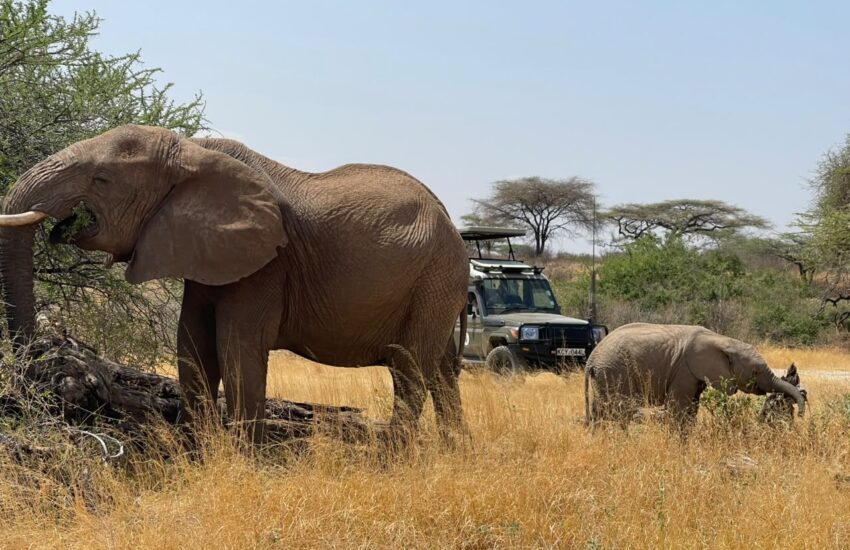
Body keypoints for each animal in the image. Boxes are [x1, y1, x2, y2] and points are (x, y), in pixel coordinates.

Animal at [0, 124, 470, 444]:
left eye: (101, 180)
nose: (42, 369)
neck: (192, 152)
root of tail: (449, 218)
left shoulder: (267, 264)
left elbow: (236, 348)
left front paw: (245, 461)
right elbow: (191, 347)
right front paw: (201, 454)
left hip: (435, 277)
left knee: (410, 368)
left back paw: (395, 457)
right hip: (438, 284)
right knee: (441, 369)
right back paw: (453, 451)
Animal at [584, 323, 806, 426]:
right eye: (756, 371)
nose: (801, 414)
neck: (723, 340)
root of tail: (592, 359)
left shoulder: (695, 374)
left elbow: (692, 407)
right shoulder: (684, 370)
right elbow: (679, 408)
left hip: (604, 375)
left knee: (600, 408)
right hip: (615, 372)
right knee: (616, 409)